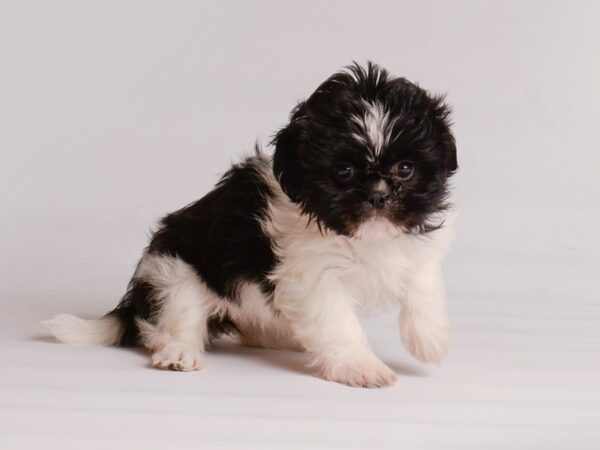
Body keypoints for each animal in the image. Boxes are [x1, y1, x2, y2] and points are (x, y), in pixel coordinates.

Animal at [44, 62, 458, 386]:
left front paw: (430, 339)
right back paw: (178, 351)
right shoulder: (311, 275)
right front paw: (359, 365)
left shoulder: (413, 245)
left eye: (405, 168)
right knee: (172, 318)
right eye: (344, 172)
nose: (378, 196)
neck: (363, 237)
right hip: (173, 271)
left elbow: (423, 283)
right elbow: (337, 320)